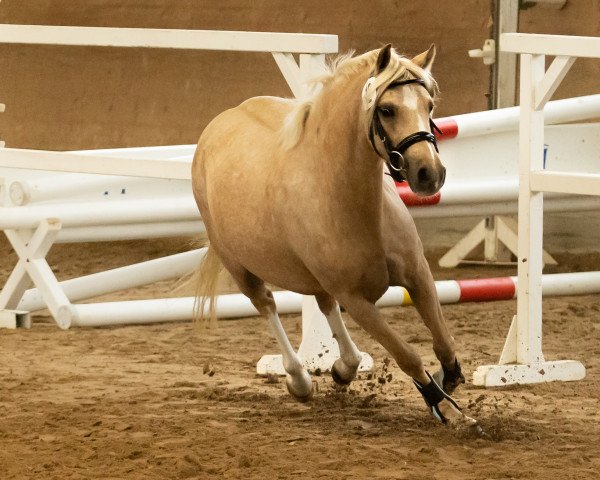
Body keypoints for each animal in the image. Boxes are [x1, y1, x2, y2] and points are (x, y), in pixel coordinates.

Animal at [192, 45, 478, 428]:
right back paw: (300, 380)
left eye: (429, 105)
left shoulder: (418, 275)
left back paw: (345, 367)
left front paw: (450, 379)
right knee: (267, 305)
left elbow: (444, 342)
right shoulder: (356, 299)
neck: (346, 195)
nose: (429, 174)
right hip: (240, 269)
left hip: (316, 279)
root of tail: (221, 121)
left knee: (324, 306)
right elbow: (407, 355)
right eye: (387, 110)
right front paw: (446, 408)